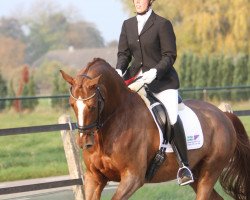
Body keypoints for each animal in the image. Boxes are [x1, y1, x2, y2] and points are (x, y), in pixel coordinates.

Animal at [60, 58, 250, 200]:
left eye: (92, 106)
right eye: (71, 104)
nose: (85, 142)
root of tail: (223, 115)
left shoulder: (133, 178)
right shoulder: (94, 178)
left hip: (210, 172)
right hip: (197, 174)